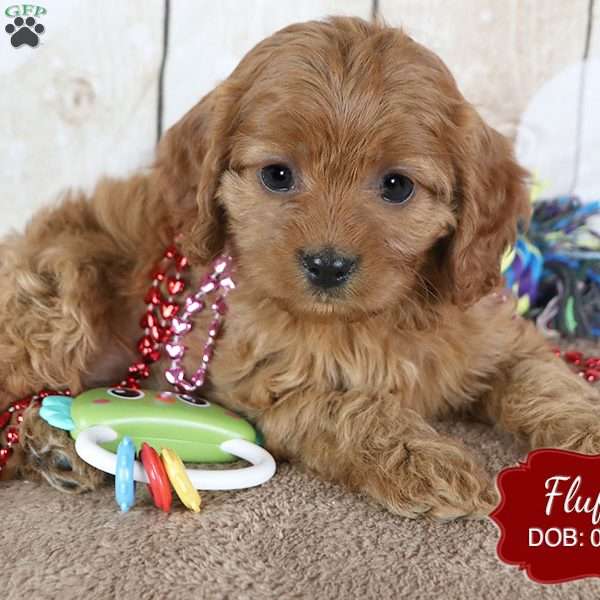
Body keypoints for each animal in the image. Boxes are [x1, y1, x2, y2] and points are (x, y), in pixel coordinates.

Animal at [2, 16, 596, 516]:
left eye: (397, 185)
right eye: (278, 176)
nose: (327, 265)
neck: (369, 320)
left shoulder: (498, 337)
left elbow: (546, 379)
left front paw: (587, 428)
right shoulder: (269, 384)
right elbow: (353, 412)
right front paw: (424, 461)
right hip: (56, 296)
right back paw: (51, 446)